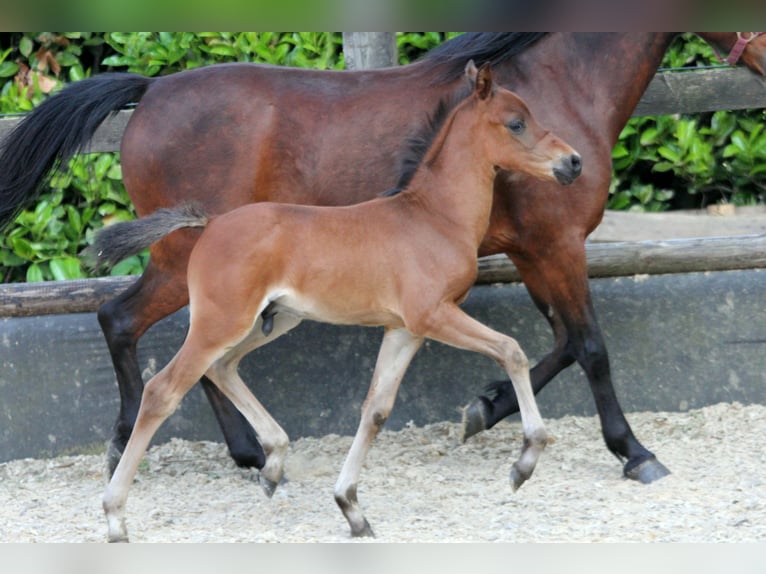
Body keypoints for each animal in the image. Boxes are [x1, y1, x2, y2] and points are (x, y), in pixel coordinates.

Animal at [0, 32, 764, 486]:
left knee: (171, 343)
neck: (565, 81)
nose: (570, 164)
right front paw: (635, 453)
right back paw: (137, 447)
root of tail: (150, 88)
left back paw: (243, 452)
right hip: (182, 258)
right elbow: (590, 345)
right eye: (516, 122)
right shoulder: (557, 245)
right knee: (123, 321)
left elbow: (561, 343)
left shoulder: (531, 253)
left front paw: (482, 411)